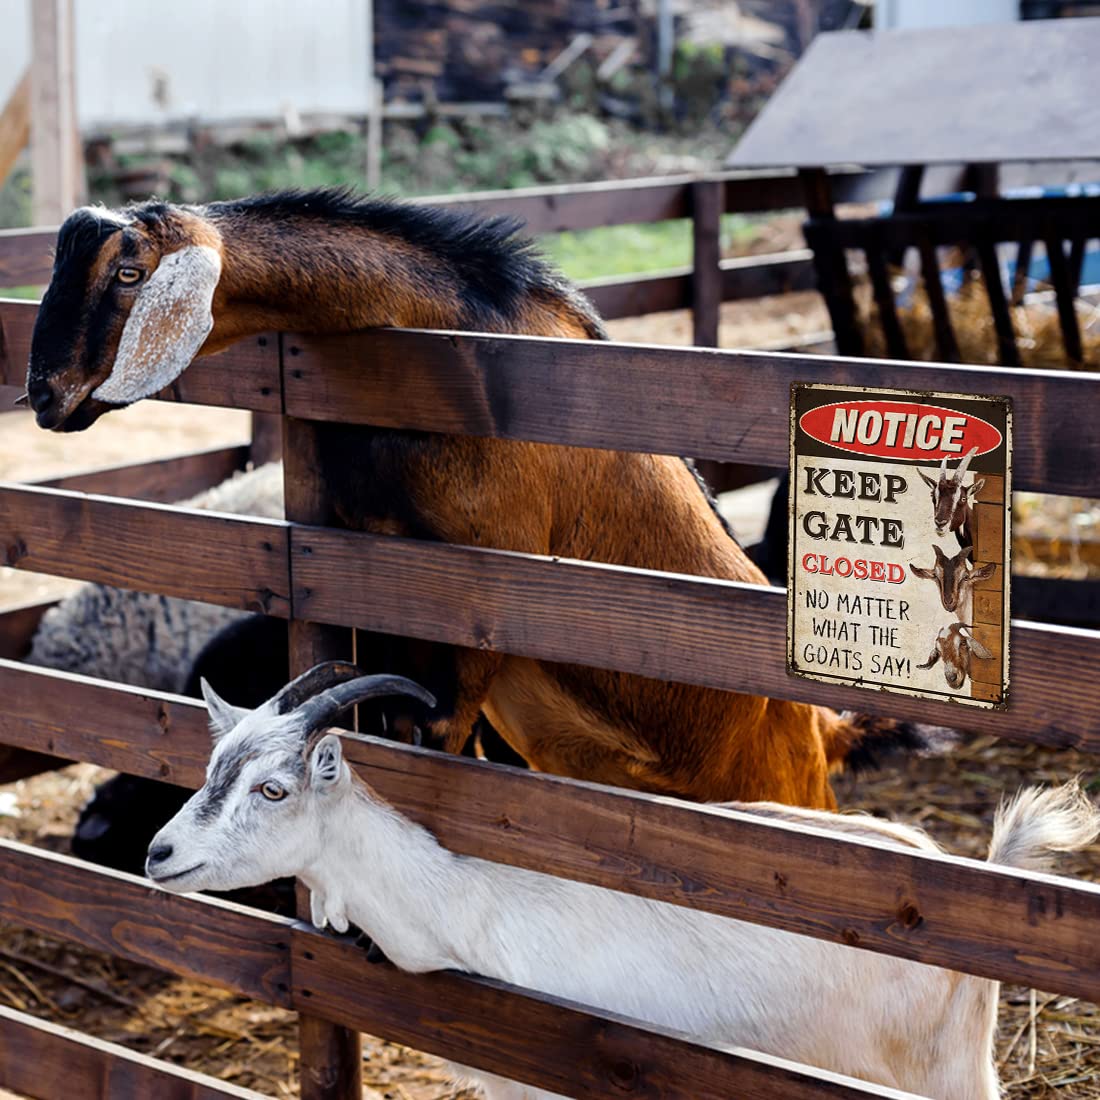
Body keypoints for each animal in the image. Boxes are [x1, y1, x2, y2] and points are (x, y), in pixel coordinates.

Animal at [27, 189, 928, 808]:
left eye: (129, 273)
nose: (43, 394)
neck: (444, 331)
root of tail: (822, 727)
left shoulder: (486, 596)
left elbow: (438, 742)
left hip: (779, 792)